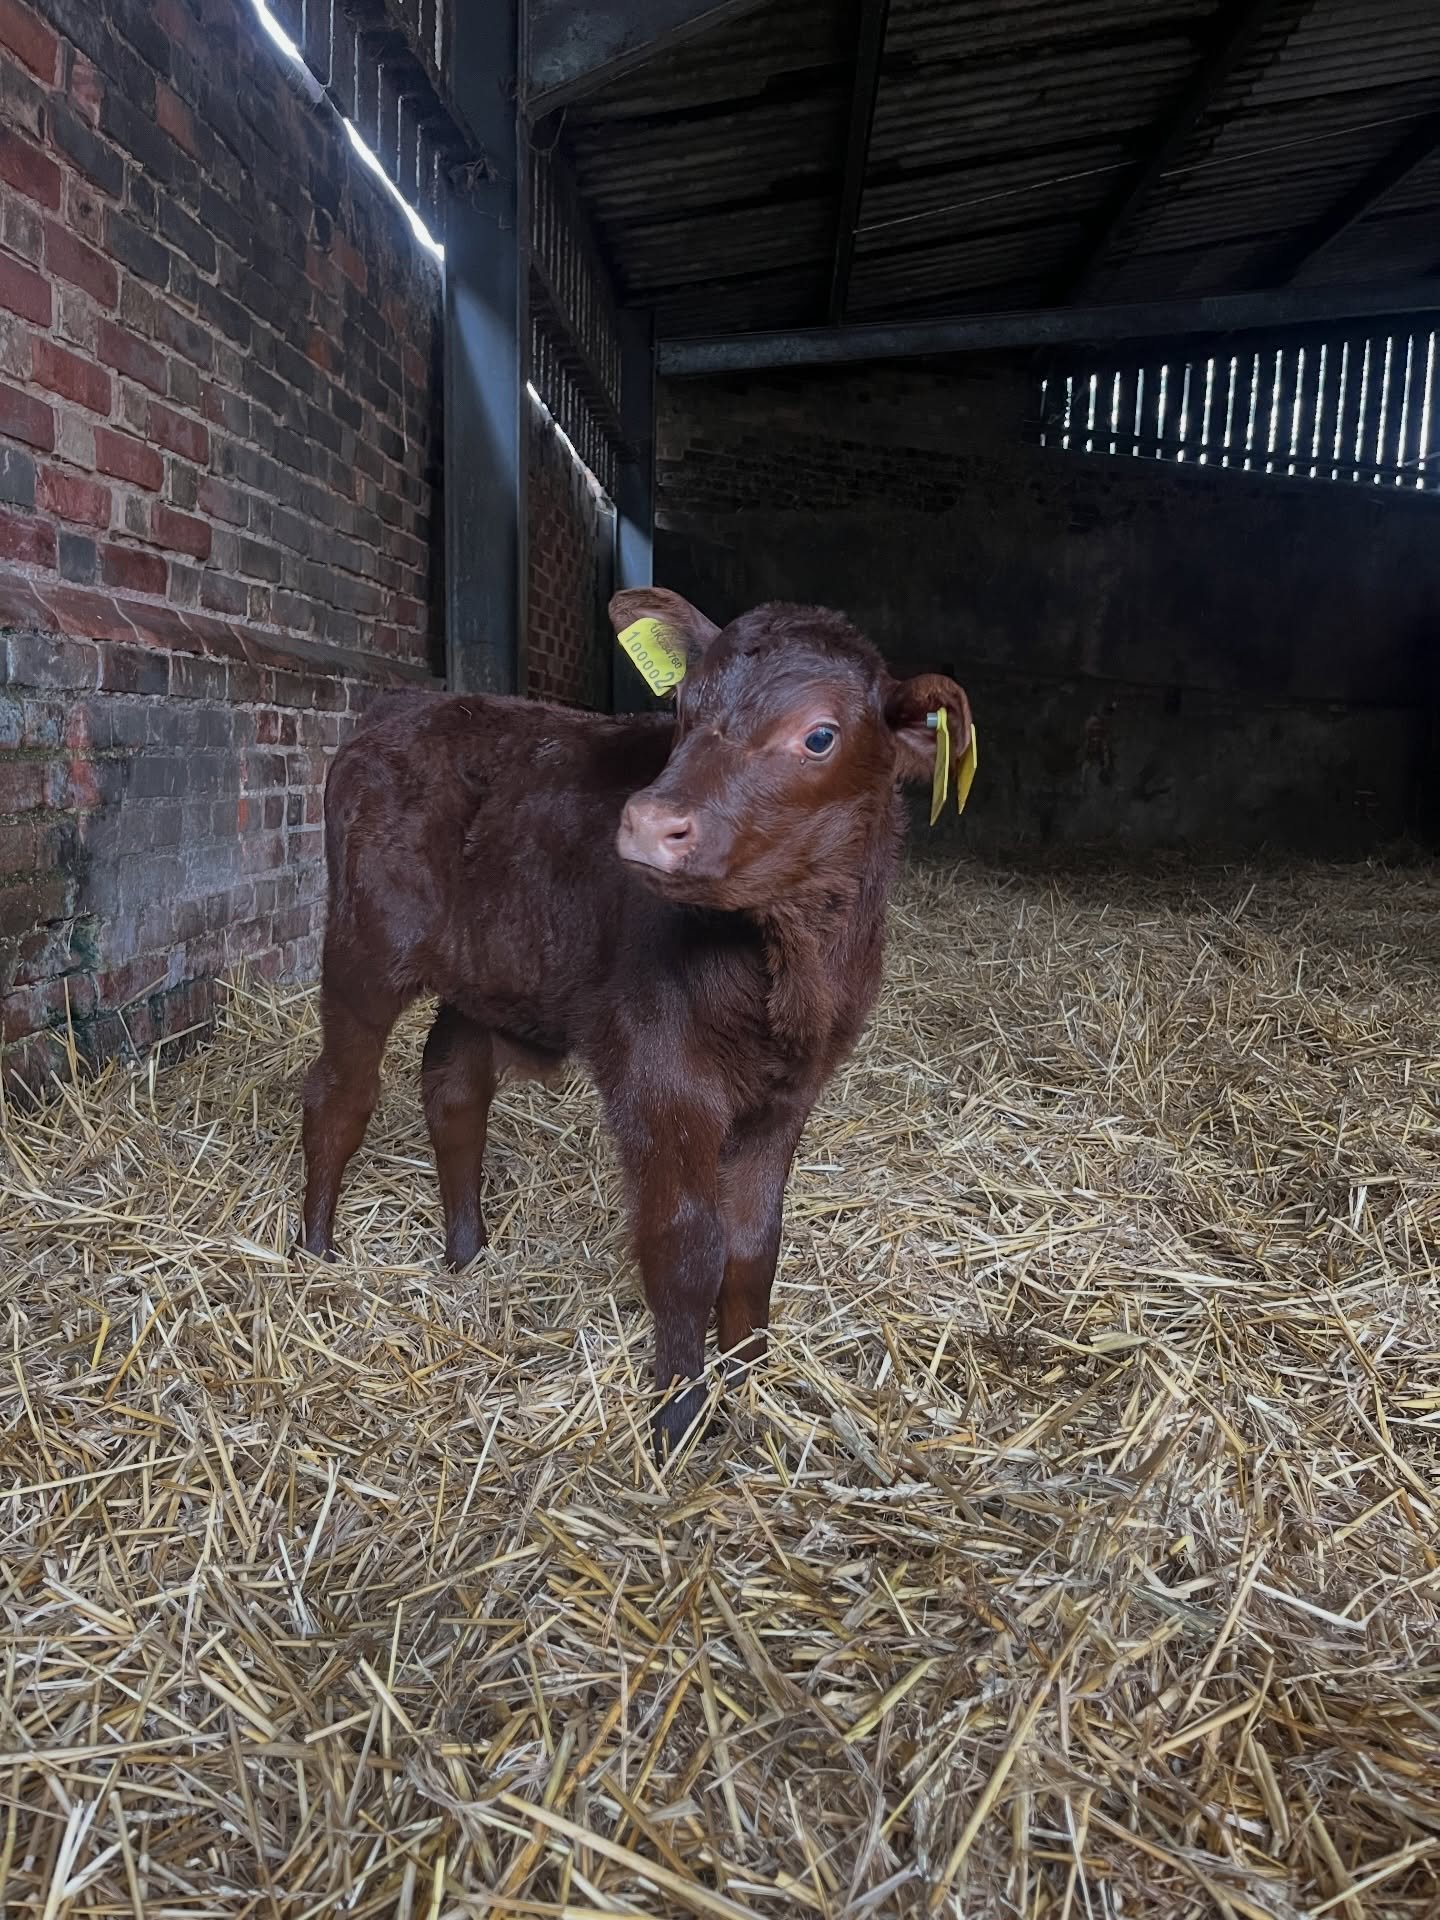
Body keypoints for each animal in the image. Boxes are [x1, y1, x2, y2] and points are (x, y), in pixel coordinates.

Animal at [300, 587, 972, 1453]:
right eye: (683, 708)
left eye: (820, 735)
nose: (650, 822)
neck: (786, 961)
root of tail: (404, 708)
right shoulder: (662, 1074)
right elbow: (685, 1246)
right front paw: (680, 1416)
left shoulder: (793, 1091)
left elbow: (754, 1247)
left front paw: (751, 1386)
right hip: (363, 949)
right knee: (339, 1094)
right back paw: (314, 1252)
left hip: (488, 968)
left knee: (452, 1091)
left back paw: (467, 1253)